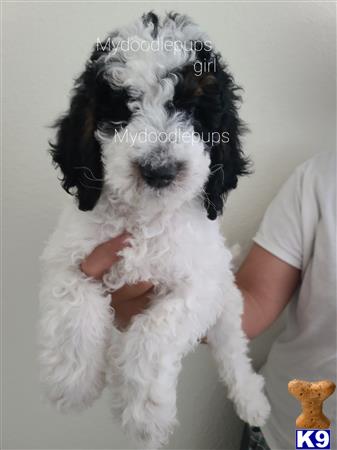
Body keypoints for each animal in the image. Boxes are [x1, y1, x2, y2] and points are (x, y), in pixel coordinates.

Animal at [39, 12, 270, 448]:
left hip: (227, 299)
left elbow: (153, 332)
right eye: (121, 109)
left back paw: (252, 401)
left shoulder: (199, 287)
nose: (159, 171)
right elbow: (76, 306)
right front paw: (73, 385)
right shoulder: (69, 258)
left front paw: (146, 416)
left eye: (194, 110)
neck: (145, 217)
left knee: (233, 351)